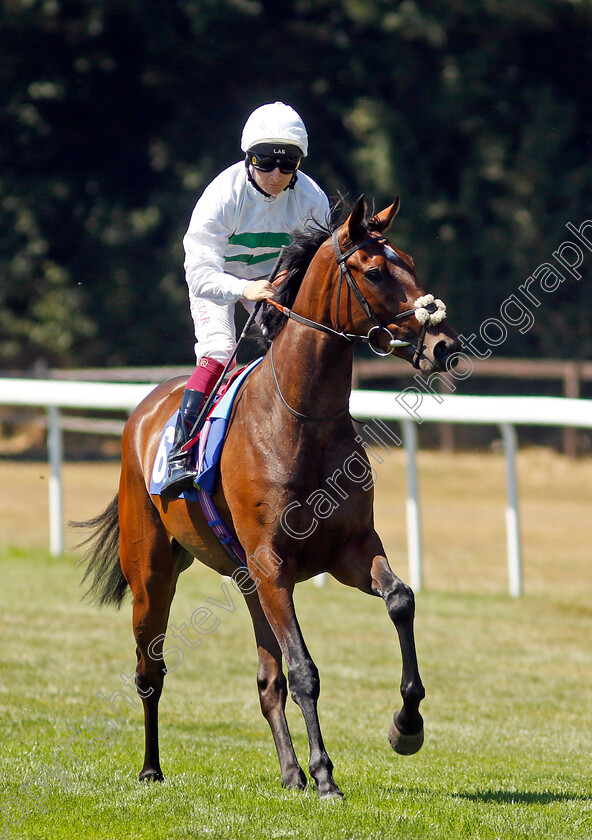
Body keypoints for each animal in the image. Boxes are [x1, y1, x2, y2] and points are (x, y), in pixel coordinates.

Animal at [75, 194, 462, 796]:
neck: (302, 418)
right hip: (154, 575)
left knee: (265, 680)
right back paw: (152, 767)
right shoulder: (273, 561)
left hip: (248, 581)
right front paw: (326, 774)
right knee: (149, 670)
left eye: (413, 264)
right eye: (375, 271)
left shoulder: (348, 549)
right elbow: (304, 669)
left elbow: (400, 599)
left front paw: (407, 726)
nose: (443, 344)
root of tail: (144, 411)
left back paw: (290, 772)